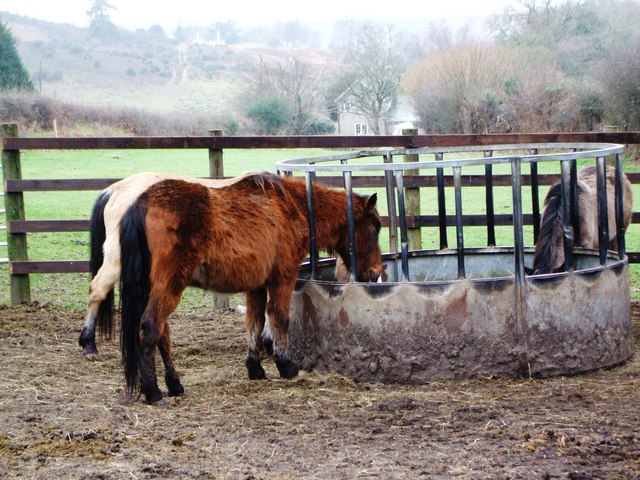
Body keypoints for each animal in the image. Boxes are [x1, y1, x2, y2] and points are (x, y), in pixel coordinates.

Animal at [80, 171, 383, 404]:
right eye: (376, 227)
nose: (375, 273)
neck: (291, 205)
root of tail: (138, 201)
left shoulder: (257, 286)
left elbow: (254, 323)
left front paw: (255, 367)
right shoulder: (282, 278)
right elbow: (279, 318)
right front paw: (285, 365)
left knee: (161, 334)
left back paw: (174, 384)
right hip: (168, 284)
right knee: (149, 327)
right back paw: (152, 390)